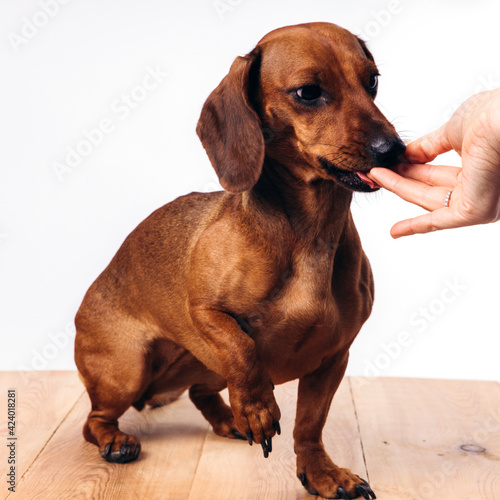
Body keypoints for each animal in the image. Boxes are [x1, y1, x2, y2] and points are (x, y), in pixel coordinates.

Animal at [74, 22, 404, 500]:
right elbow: (243, 350)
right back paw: (119, 440)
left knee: (199, 392)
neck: (309, 233)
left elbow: (310, 425)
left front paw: (322, 474)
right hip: (128, 367)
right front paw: (258, 407)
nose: (393, 150)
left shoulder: (333, 359)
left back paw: (231, 420)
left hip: (200, 369)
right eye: (308, 92)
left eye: (373, 81)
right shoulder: (206, 313)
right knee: (94, 419)